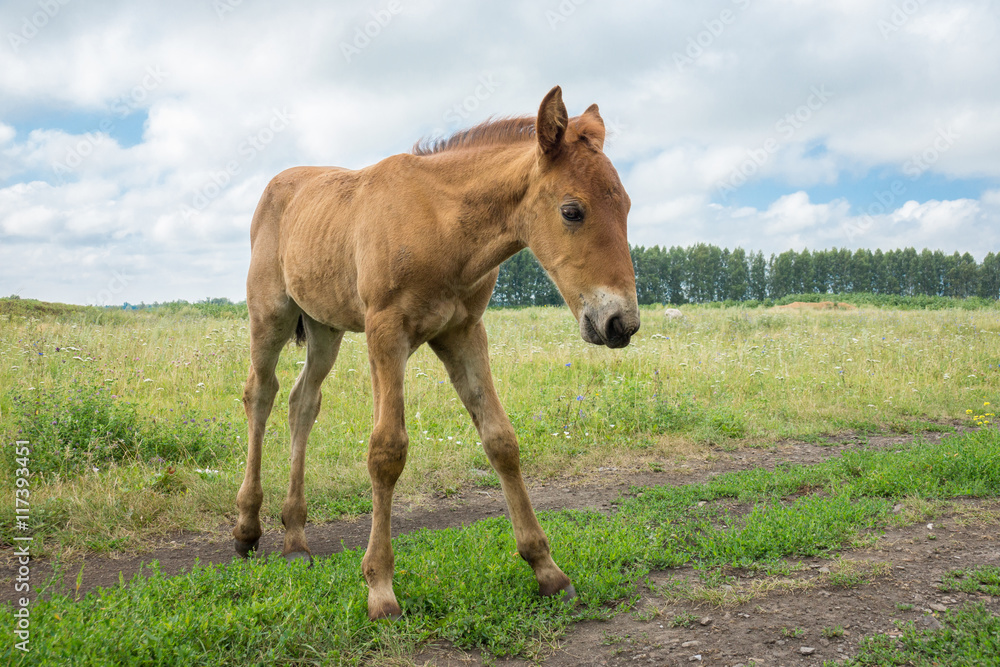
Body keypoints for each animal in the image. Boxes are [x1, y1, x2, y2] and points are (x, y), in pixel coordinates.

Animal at [233, 86, 640, 620]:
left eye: (627, 206)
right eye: (572, 211)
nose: (621, 323)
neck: (443, 227)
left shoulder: (464, 332)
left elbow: (500, 440)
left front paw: (547, 569)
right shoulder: (385, 331)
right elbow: (387, 450)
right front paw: (380, 588)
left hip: (325, 327)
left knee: (303, 401)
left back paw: (296, 539)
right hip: (272, 316)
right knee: (261, 394)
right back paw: (247, 528)